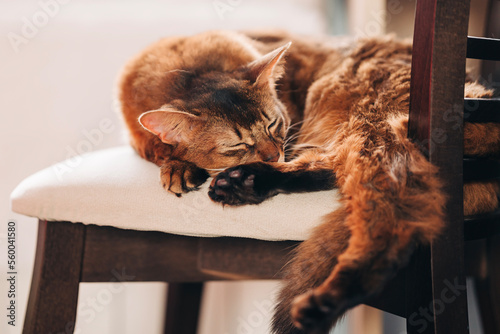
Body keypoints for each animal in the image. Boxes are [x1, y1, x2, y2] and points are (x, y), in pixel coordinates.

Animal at [118, 30, 500, 332]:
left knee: (389, 220)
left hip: (370, 128)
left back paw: (323, 301)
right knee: (331, 168)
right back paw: (246, 183)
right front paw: (176, 163)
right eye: (238, 146)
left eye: (274, 124)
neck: (188, 70)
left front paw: (180, 165)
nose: (273, 154)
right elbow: (154, 146)